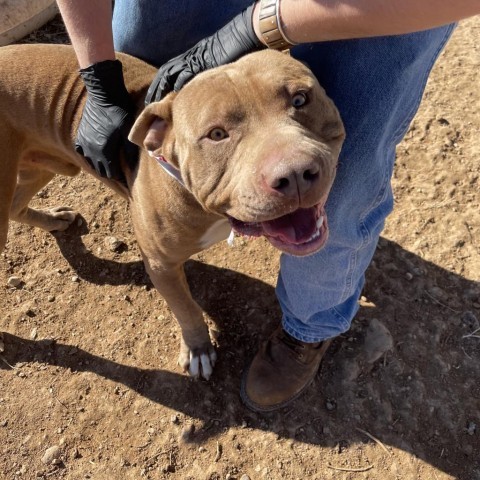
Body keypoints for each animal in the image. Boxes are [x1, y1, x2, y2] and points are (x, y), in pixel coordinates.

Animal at [0, 43, 344, 380]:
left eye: (300, 99)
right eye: (216, 134)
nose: (295, 174)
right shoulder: (161, 264)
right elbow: (186, 309)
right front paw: (198, 350)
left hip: (46, 166)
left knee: (17, 204)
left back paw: (53, 220)